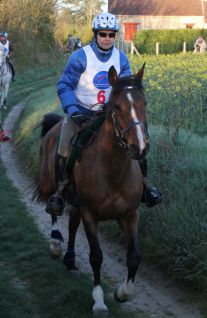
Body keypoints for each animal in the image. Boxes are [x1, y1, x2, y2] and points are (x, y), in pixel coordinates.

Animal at [33, 64, 149, 314]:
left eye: (144, 104)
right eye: (117, 106)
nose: (140, 148)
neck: (113, 170)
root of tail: (55, 124)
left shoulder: (130, 213)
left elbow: (134, 256)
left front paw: (122, 293)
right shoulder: (90, 213)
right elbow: (96, 256)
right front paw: (99, 301)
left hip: (77, 204)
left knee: (72, 225)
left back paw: (70, 261)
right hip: (49, 185)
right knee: (53, 209)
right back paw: (55, 244)